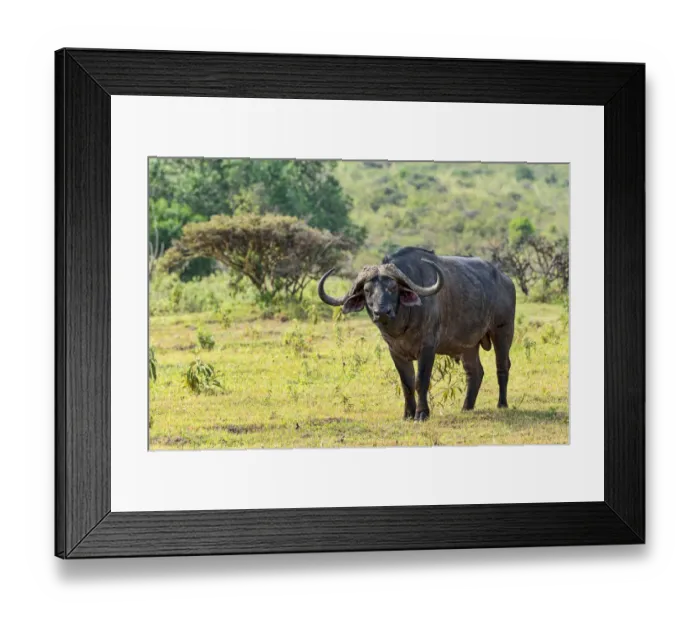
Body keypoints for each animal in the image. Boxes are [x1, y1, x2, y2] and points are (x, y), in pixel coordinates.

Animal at [318, 247, 516, 421]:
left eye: (393, 288)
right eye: (367, 290)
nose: (382, 312)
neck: (403, 325)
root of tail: (506, 280)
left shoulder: (427, 348)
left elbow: (421, 381)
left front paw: (421, 414)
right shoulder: (396, 352)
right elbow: (407, 383)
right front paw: (408, 414)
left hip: (503, 332)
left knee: (502, 366)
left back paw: (502, 404)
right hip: (468, 345)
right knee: (475, 372)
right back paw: (467, 407)